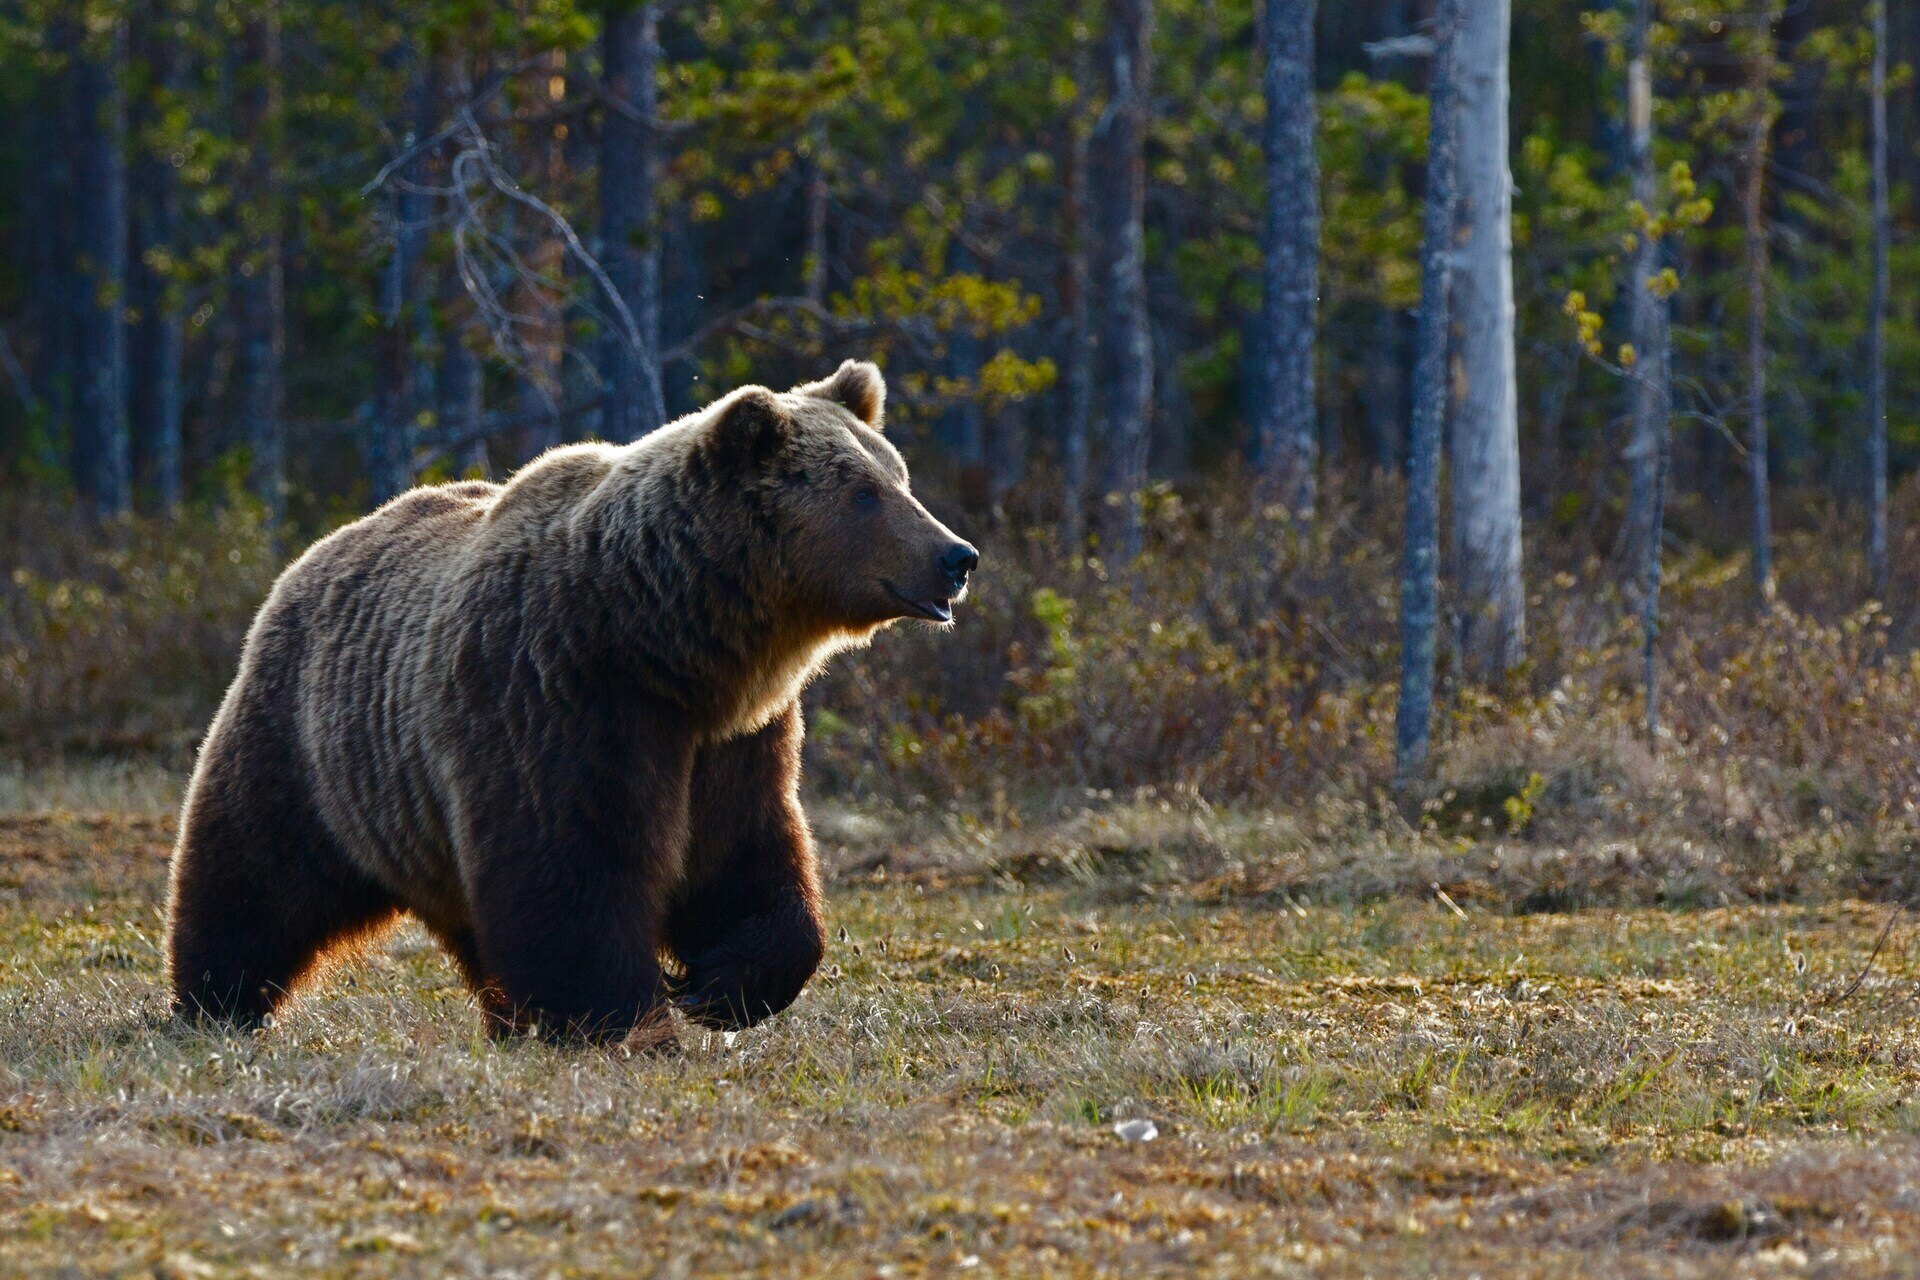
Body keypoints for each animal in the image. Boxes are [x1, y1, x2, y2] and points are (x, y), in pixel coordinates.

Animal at [165, 360, 975, 1043]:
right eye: (864, 493)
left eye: (899, 475)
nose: (957, 556)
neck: (667, 642)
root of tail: (316, 551)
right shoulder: (559, 696)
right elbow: (571, 867)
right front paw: (625, 1017)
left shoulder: (735, 739)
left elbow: (745, 855)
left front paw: (720, 984)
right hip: (313, 744)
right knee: (253, 874)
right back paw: (214, 1002)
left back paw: (506, 1018)